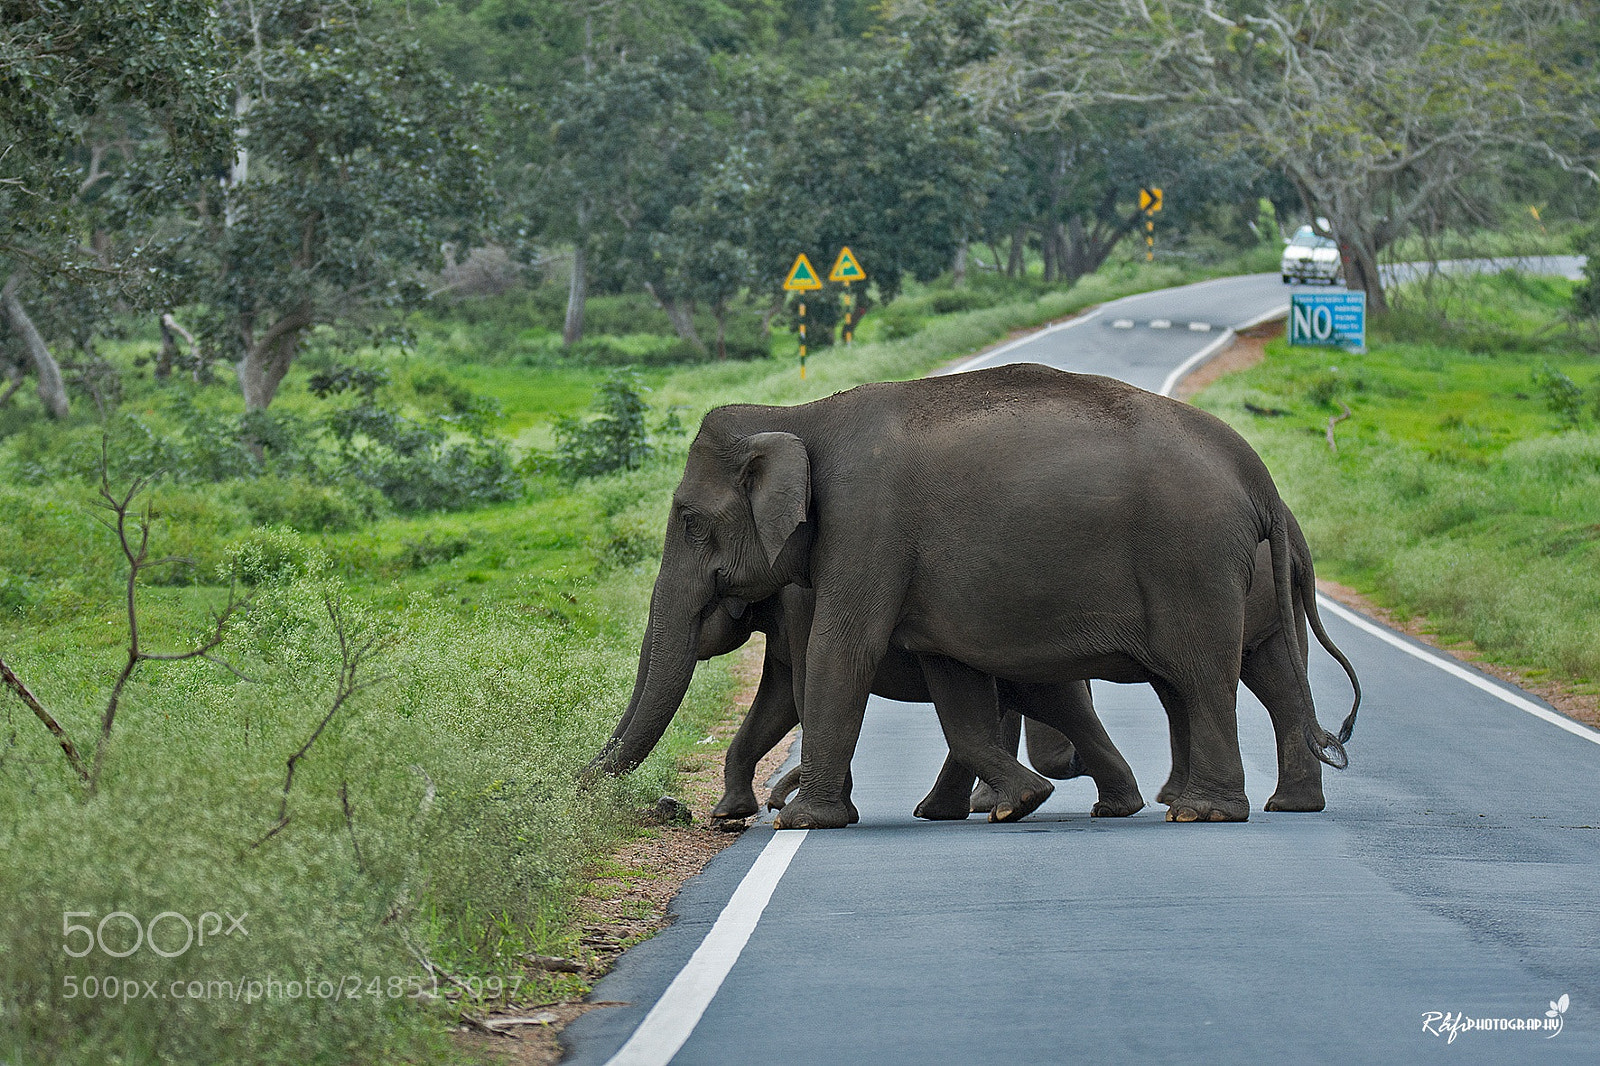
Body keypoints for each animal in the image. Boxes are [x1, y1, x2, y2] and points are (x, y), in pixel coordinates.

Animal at [692, 585, 1143, 826]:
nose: (774, 802)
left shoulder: (800, 610)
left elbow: (799, 696)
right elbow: (777, 703)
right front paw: (728, 816)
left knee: (1048, 703)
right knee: (1051, 705)